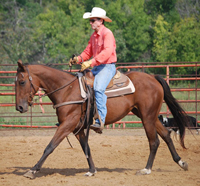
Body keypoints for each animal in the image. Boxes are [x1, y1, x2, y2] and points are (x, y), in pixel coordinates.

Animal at [14, 60, 188, 179]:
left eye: (22, 81)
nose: (19, 107)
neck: (68, 90)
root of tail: (153, 77)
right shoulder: (77, 128)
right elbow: (86, 148)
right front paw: (92, 170)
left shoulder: (67, 125)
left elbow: (50, 147)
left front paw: (32, 170)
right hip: (147, 116)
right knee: (165, 135)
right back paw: (181, 162)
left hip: (147, 117)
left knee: (154, 141)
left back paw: (146, 169)